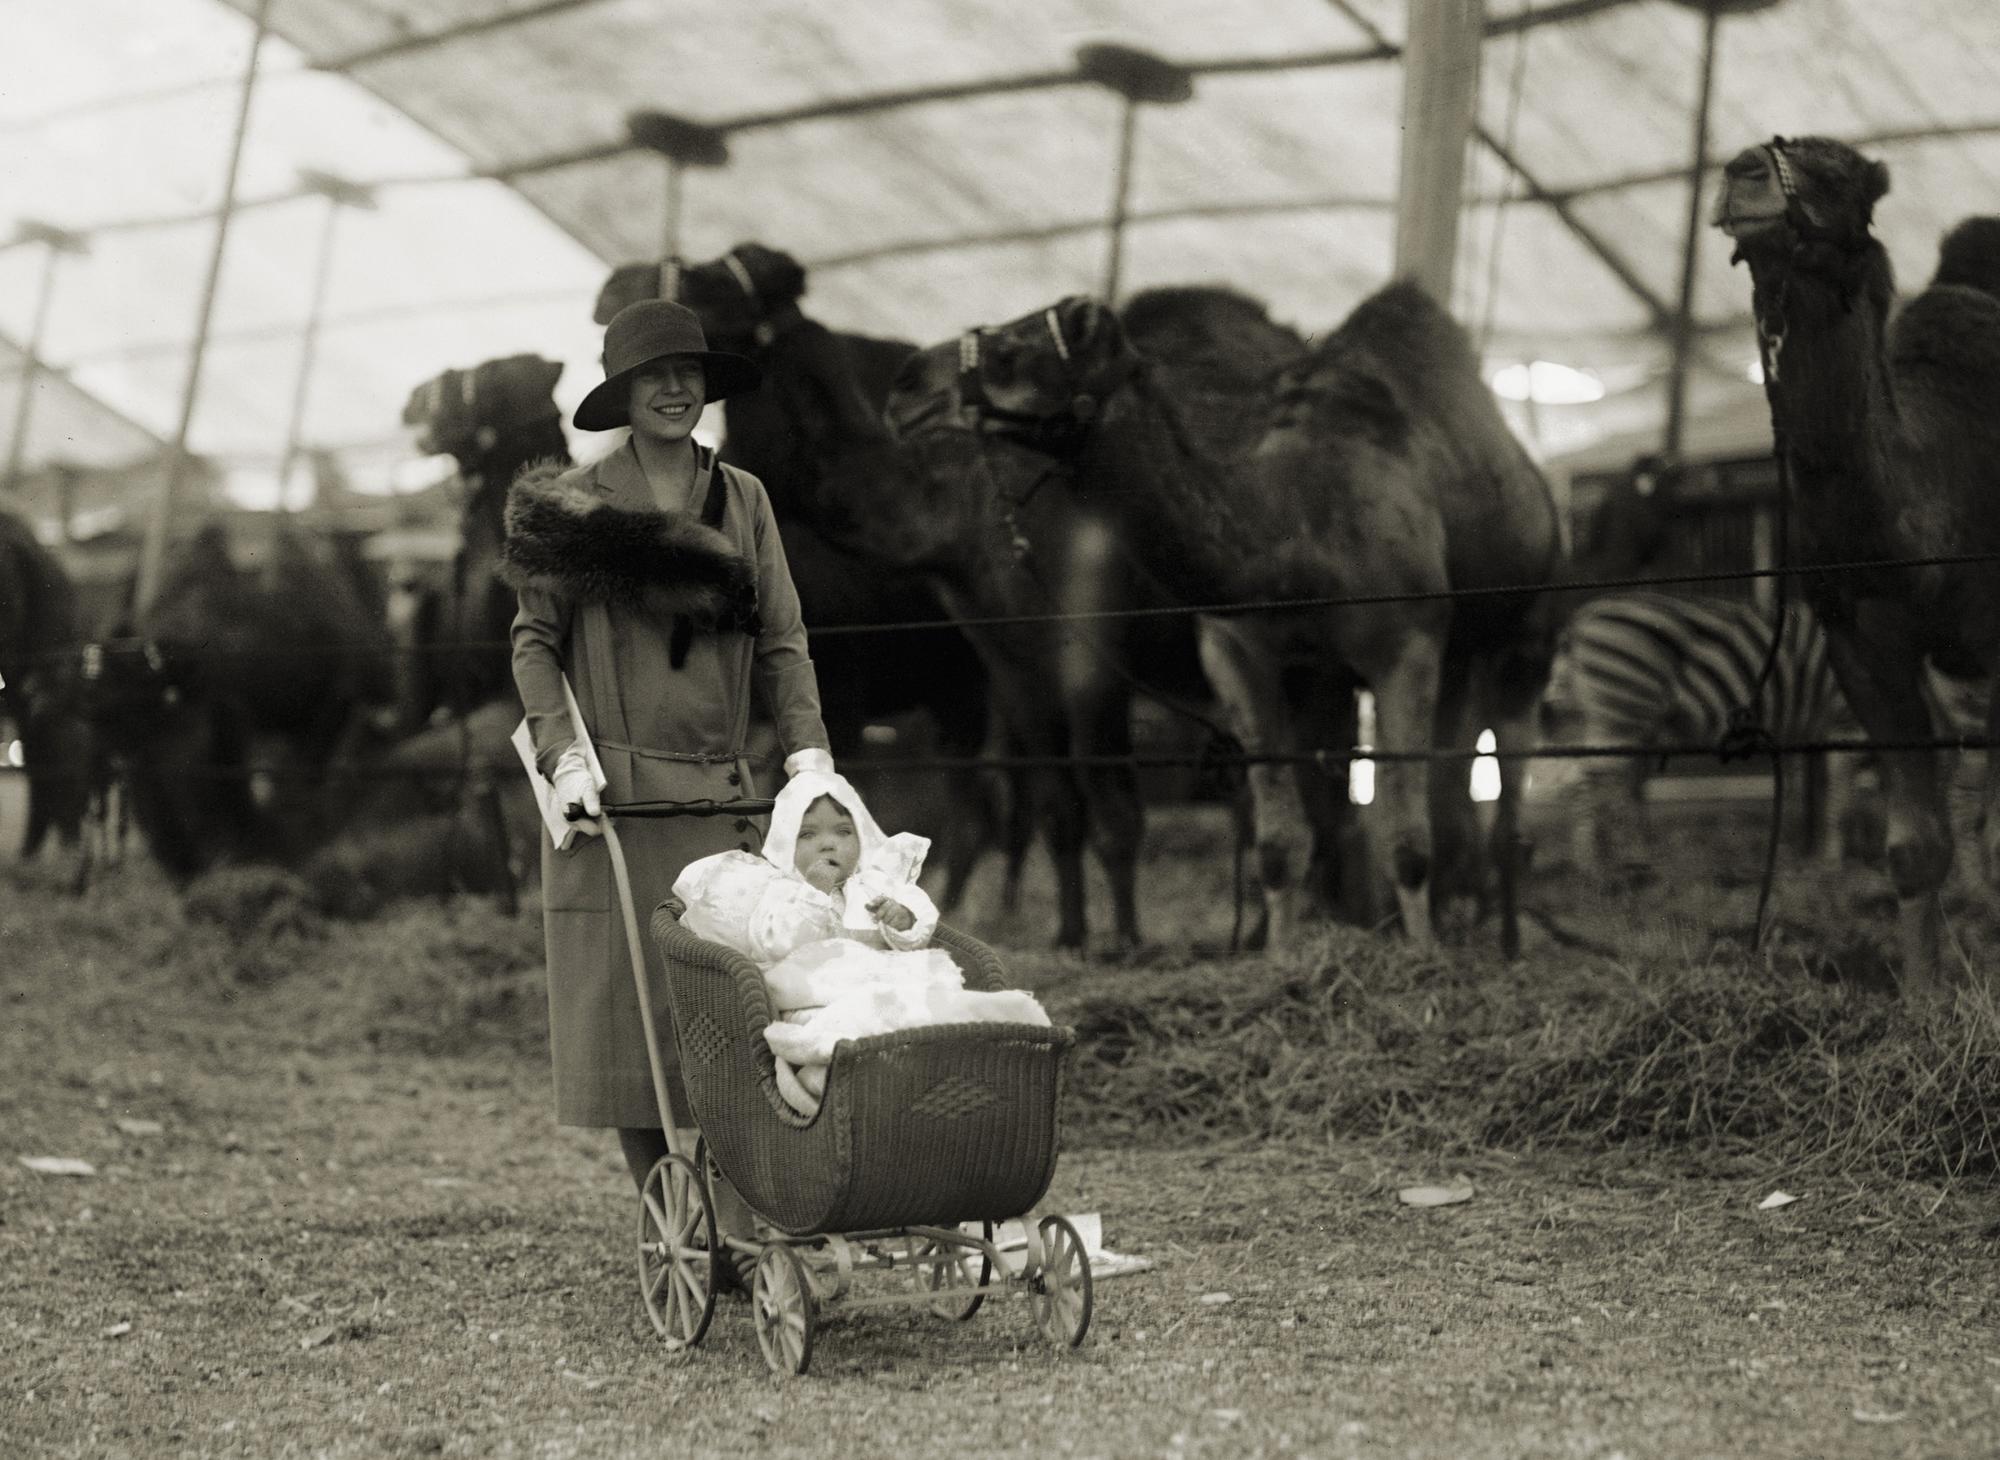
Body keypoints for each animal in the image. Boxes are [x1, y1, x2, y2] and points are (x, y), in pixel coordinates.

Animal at [892, 284, 1560, 956]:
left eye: (1010, 352)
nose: (907, 384)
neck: (1291, 532)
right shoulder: (1239, 653)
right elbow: (1277, 842)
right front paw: (1282, 956)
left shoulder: (1406, 644)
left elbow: (1406, 838)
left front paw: (1422, 958)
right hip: (1427, 659)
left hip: (1529, 632)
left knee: (1507, 794)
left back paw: (1506, 940)